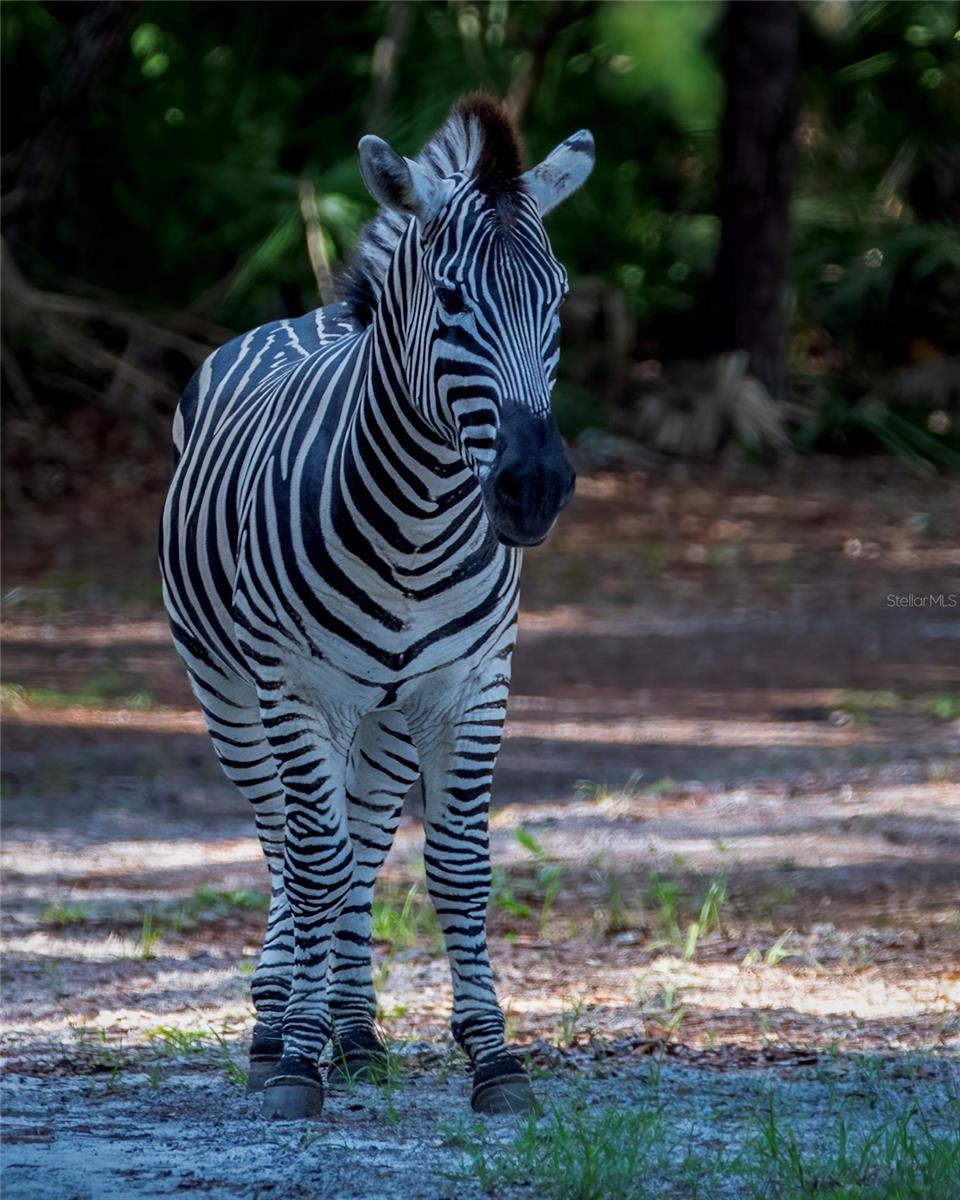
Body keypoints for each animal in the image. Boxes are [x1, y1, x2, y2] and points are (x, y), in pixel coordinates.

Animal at [159, 91, 592, 1113]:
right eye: (453, 301)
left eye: (558, 302)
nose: (533, 489)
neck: (416, 528)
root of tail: (312, 315)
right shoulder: (296, 689)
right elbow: (311, 860)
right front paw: (294, 1061)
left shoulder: (471, 688)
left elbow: (456, 866)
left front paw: (493, 1058)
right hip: (229, 694)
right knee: (287, 840)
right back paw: (279, 1023)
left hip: (389, 715)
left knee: (357, 843)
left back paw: (353, 1033)